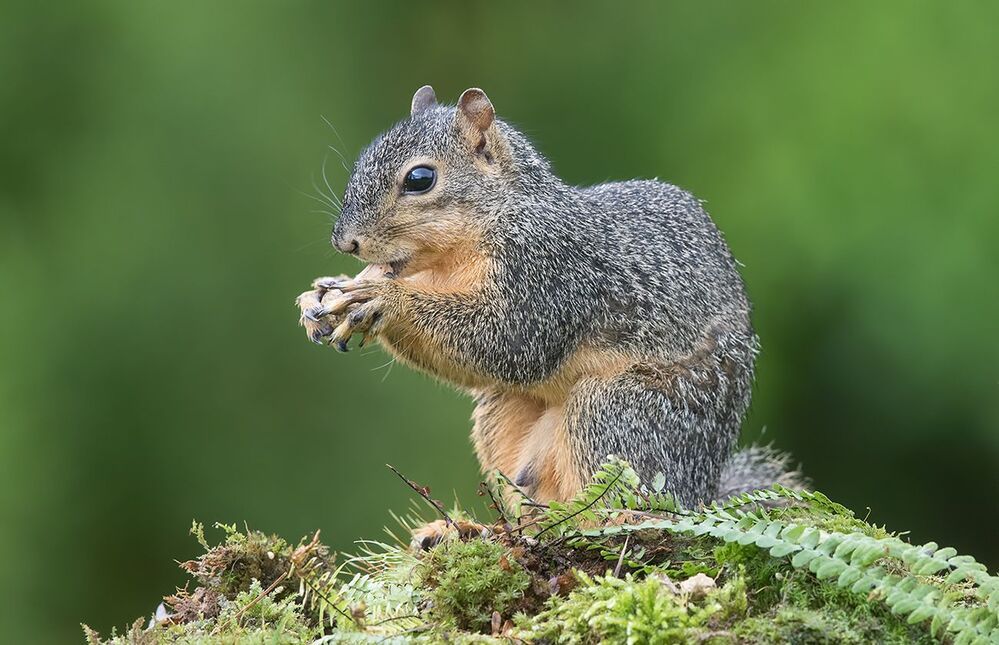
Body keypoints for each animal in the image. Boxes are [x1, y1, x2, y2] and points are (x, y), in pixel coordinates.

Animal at [297, 86, 803, 538]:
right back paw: (471, 530)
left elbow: (510, 341)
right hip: (504, 414)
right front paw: (323, 296)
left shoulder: (548, 274)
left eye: (420, 179)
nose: (345, 242)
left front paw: (382, 299)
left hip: (623, 412)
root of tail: (702, 491)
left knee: (632, 501)